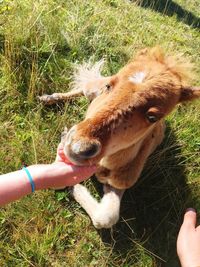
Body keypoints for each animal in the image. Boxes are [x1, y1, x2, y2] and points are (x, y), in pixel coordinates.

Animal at [39, 47, 200, 229]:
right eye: (109, 86)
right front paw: (64, 137)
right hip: (93, 88)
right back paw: (49, 98)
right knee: (85, 86)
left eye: (152, 117)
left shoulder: (119, 181)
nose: (78, 147)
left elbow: (107, 217)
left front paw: (74, 187)